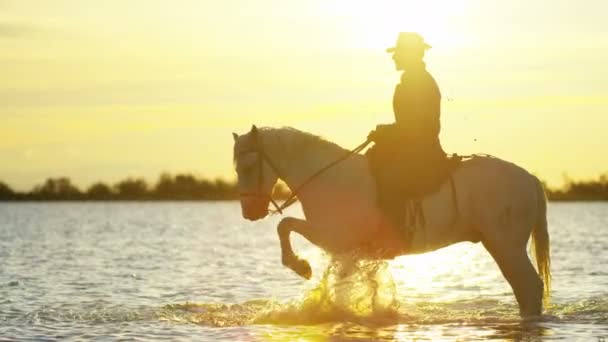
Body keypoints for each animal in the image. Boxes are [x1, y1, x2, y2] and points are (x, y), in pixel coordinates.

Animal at [232, 125, 552, 318]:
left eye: (248, 166)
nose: (249, 212)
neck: (328, 177)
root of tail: (529, 178)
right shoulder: (344, 248)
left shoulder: (331, 237)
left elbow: (284, 225)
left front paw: (300, 266)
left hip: (506, 247)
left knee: (529, 288)